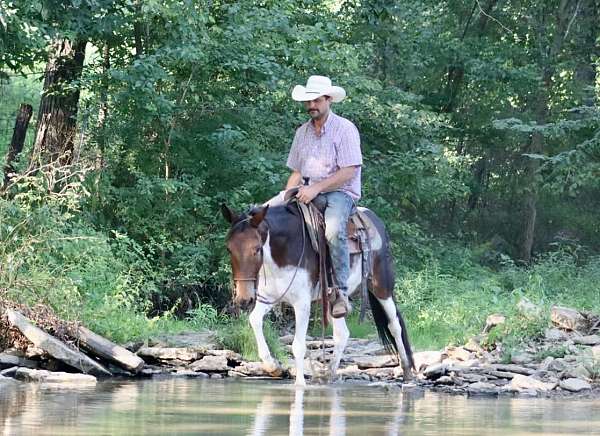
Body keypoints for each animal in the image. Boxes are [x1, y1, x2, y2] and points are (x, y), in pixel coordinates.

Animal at [223, 201, 414, 384]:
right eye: (229, 249)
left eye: (256, 249)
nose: (244, 299)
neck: (282, 250)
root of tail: (375, 221)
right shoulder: (268, 298)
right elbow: (254, 320)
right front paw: (273, 366)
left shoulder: (302, 304)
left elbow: (298, 345)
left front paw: (300, 384)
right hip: (335, 300)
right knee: (342, 334)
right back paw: (328, 374)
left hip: (382, 288)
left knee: (394, 325)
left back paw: (406, 372)